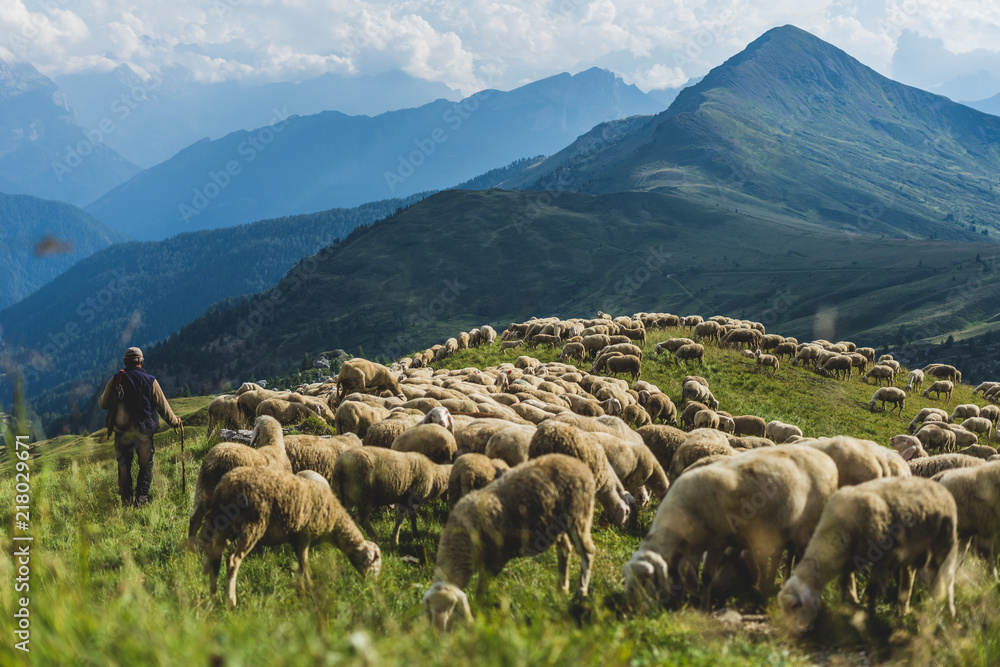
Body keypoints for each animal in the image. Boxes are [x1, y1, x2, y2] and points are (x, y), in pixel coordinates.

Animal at [199, 468, 380, 608]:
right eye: (375, 562)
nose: (373, 584)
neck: (335, 523)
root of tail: (226, 486)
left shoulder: (295, 539)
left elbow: (300, 565)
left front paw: (301, 589)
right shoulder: (306, 534)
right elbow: (305, 564)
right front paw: (311, 589)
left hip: (222, 525)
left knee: (215, 559)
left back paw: (213, 597)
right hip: (252, 525)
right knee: (232, 561)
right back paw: (231, 601)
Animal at [423, 454, 596, 630]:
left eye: (451, 605)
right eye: (430, 607)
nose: (438, 631)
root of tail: (576, 462)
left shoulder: (495, 559)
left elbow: (481, 590)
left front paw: (479, 611)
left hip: (579, 513)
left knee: (587, 551)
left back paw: (580, 592)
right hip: (558, 524)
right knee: (564, 550)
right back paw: (561, 589)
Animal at [625, 445, 838, 608]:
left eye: (644, 580)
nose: (630, 607)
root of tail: (827, 459)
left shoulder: (718, 541)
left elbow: (707, 576)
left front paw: (703, 606)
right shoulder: (690, 546)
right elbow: (681, 572)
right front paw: (681, 598)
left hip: (809, 526)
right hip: (781, 530)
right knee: (781, 556)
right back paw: (768, 585)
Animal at [779, 477, 957, 632]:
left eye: (795, 606)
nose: (791, 632)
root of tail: (939, 486)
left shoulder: (882, 558)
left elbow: (872, 589)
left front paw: (871, 617)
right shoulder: (848, 558)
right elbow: (843, 583)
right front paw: (842, 607)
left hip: (944, 543)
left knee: (947, 580)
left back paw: (949, 613)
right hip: (914, 549)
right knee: (912, 576)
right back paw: (906, 610)